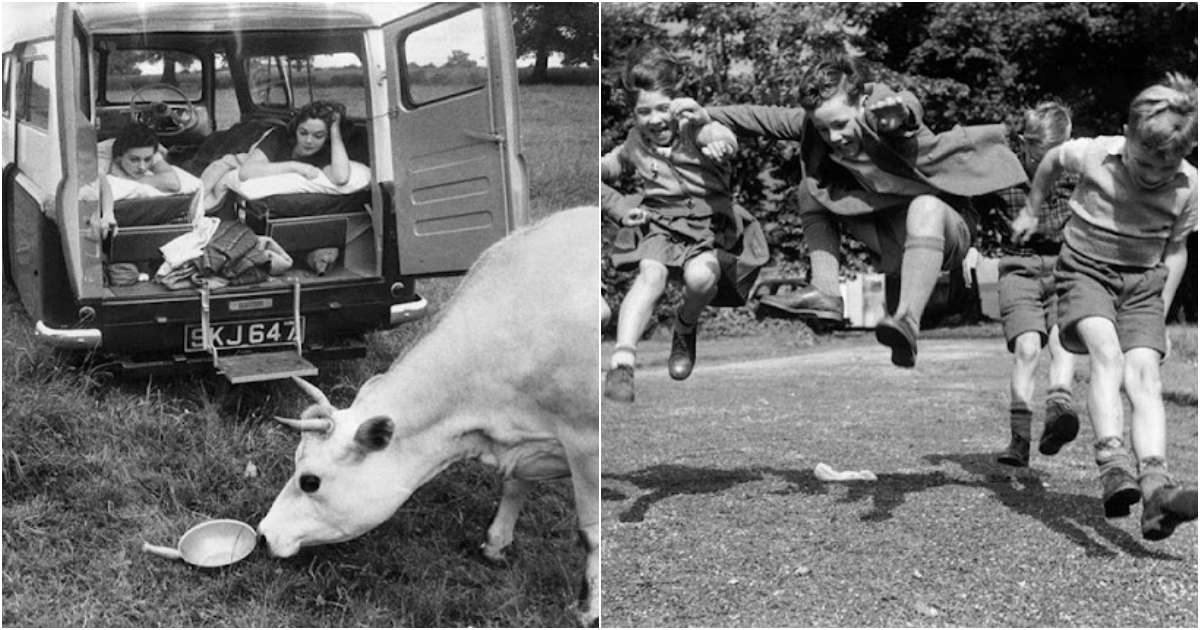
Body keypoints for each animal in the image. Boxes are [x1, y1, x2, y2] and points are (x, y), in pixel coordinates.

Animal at [260, 206, 600, 624]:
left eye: (310, 481)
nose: (264, 533)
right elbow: (515, 485)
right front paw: (496, 544)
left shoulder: (586, 445)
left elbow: (591, 533)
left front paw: (590, 609)